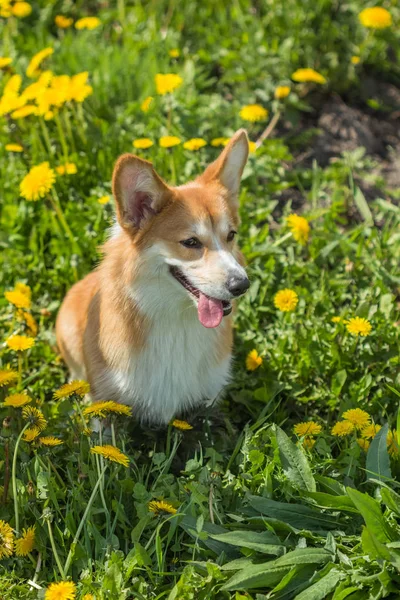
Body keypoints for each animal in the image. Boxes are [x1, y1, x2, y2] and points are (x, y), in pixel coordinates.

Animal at [56, 129, 250, 424]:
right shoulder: (105, 404)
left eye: (231, 235)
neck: (176, 322)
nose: (242, 285)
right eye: (191, 242)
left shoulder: (210, 402)